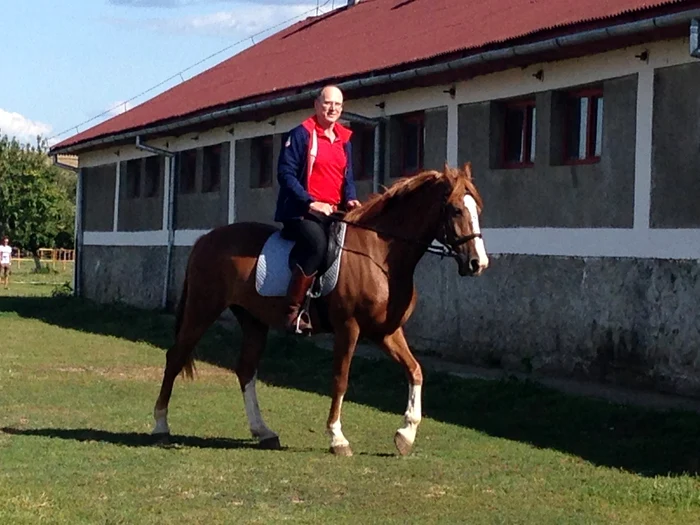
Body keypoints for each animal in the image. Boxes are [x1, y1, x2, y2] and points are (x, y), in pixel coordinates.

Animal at [150, 164, 490, 454]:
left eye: (478, 209)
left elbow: (415, 370)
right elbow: (340, 379)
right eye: (456, 209)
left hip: (253, 320)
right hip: (202, 309)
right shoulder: (349, 328)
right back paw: (160, 426)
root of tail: (205, 239)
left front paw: (406, 434)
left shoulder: (386, 332)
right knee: (175, 357)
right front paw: (338, 438)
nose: (479, 263)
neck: (378, 253)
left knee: (245, 368)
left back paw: (264, 432)